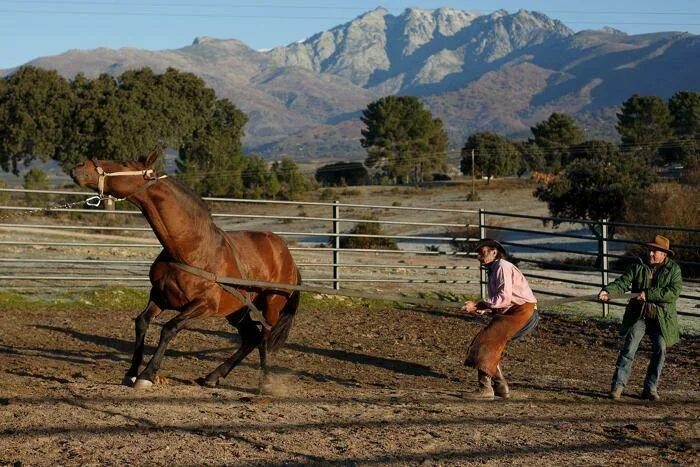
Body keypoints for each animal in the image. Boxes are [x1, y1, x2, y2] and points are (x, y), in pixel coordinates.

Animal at [69, 150, 300, 392]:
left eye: (123, 163)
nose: (79, 167)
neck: (190, 249)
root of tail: (286, 253)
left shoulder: (204, 304)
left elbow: (169, 328)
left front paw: (147, 375)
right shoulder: (159, 296)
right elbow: (142, 322)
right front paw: (131, 373)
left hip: (271, 305)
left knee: (264, 337)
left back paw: (265, 383)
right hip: (237, 310)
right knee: (251, 337)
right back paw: (213, 376)